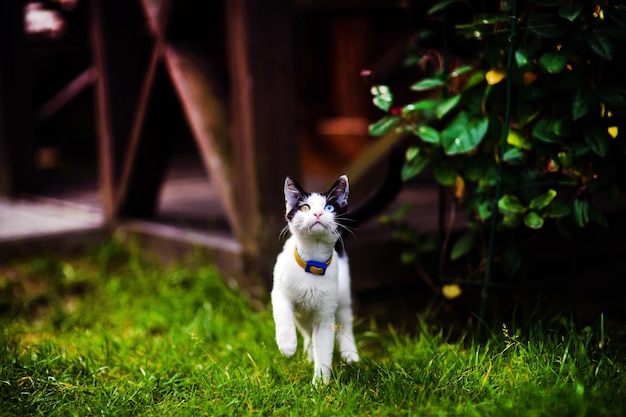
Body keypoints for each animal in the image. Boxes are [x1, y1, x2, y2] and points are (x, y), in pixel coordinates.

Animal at [270, 173, 358, 384]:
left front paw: (319, 384)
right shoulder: (279, 292)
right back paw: (308, 353)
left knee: (345, 323)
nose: (317, 214)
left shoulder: (325, 317)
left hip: (342, 295)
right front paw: (287, 345)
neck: (313, 264)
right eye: (304, 207)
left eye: (329, 207)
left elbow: (324, 347)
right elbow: (282, 314)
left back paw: (350, 355)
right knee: (307, 333)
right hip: (301, 315)